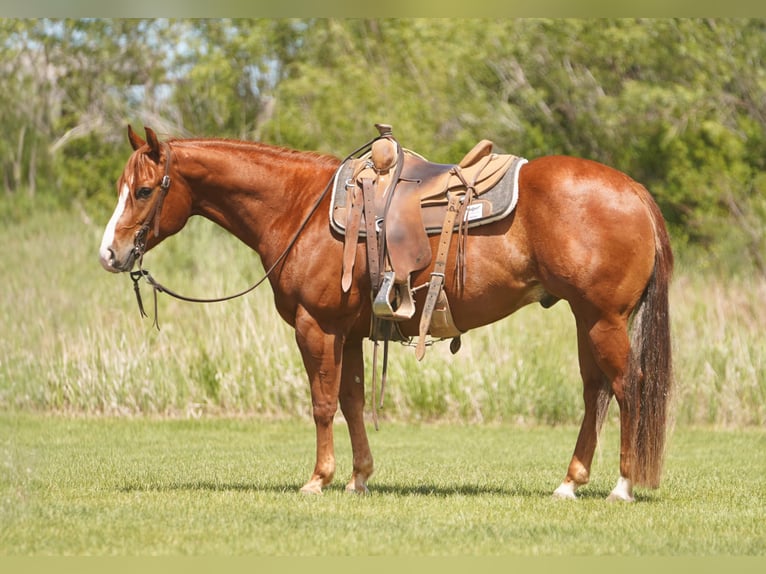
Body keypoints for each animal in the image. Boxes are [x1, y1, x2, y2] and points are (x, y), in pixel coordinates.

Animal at [99, 125, 673, 502]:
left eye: (144, 190)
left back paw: (622, 486)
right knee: (595, 392)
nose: (110, 253)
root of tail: (634, 190)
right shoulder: (349, 332)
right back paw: (570, 483)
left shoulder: (316, 326)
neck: (299, 207)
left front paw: (318, 479)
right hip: (586, 318)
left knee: (627, 387)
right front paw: (359, 477)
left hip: (603, 318)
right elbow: (352, 401)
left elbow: (322, 404)